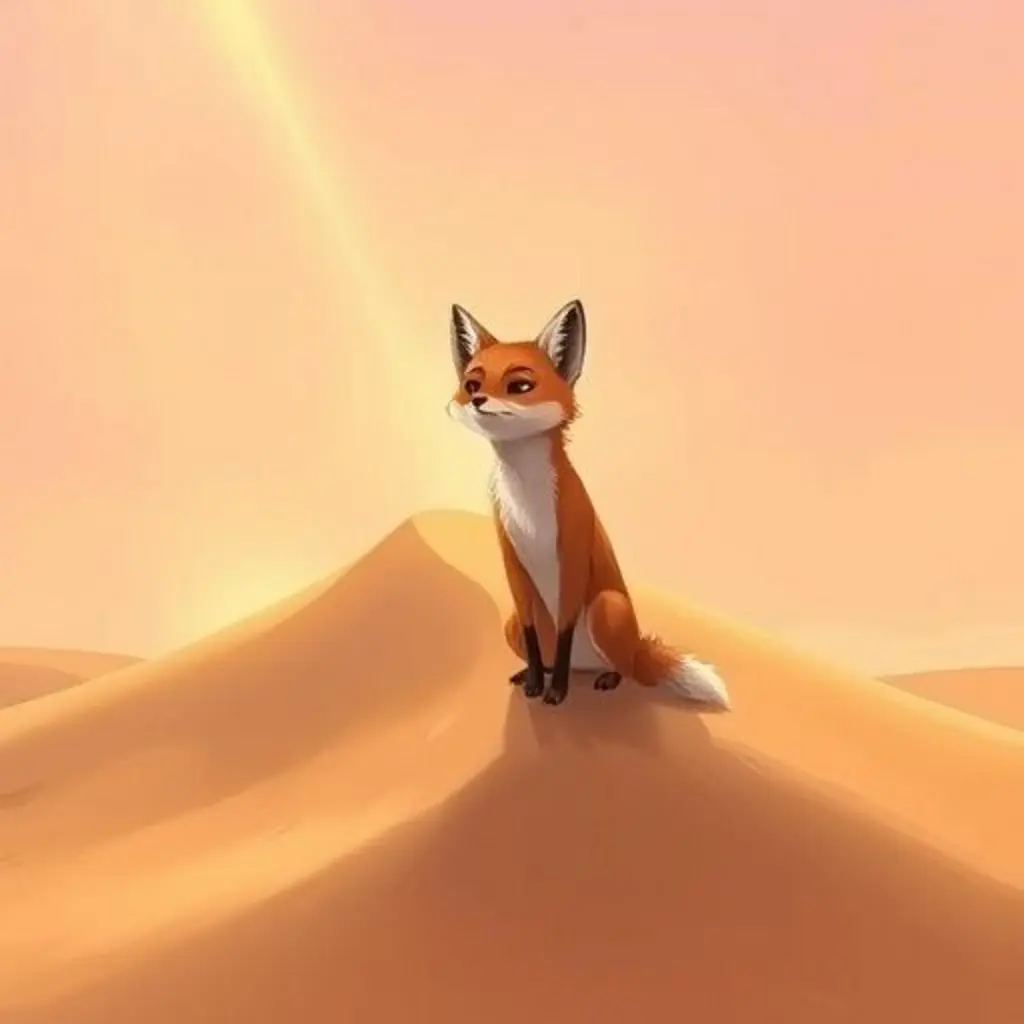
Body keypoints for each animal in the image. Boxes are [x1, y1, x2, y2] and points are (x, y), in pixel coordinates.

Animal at [446, 298, 731, 710]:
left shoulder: (573, 553)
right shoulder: (512, 559)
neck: (527, 506)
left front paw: (557, 693)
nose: (478, 400)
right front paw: (536, 682)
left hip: (606, 609)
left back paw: (606, 677)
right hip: (513, 622)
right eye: (472, 385)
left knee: (627, 668)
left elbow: (565, 631)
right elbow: (534, 639)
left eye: (519, 386)